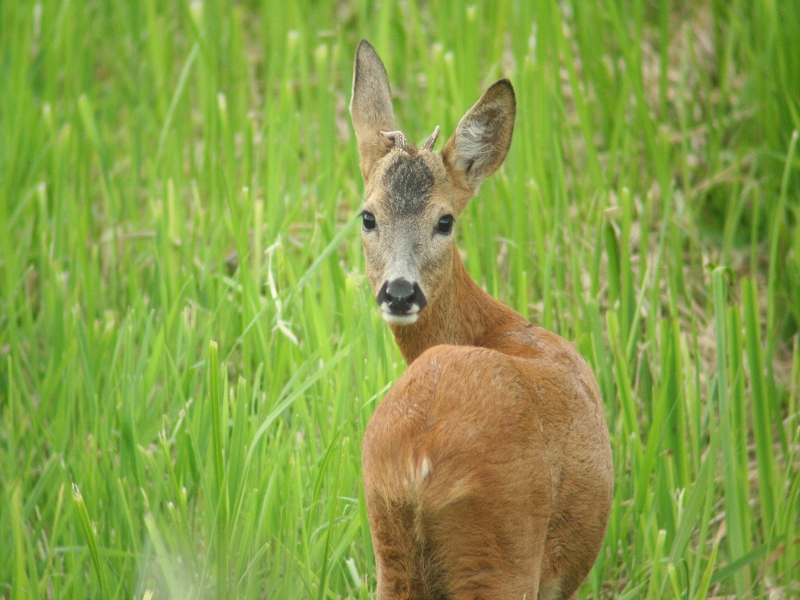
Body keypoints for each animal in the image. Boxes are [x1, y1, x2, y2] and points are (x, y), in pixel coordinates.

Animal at [348, 41, 612, 600]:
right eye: (369, 217)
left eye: (445, 220)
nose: (399, 291)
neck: (494, 325)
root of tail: (419, 457)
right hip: (503, 541)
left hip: (391, 548)